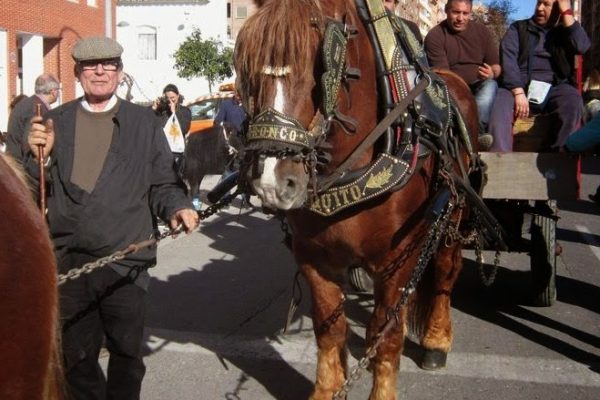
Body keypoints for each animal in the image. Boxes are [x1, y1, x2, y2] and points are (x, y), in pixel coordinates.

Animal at [234, 1, 492, 398]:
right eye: (247, 63)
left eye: (321, 61)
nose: (273, 182)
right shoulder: (313, 258)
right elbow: (329, 330)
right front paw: (326, 389)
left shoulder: (397, 261)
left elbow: (388, 336)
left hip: (455, 212)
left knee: (446, 271)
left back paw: (436, 341)